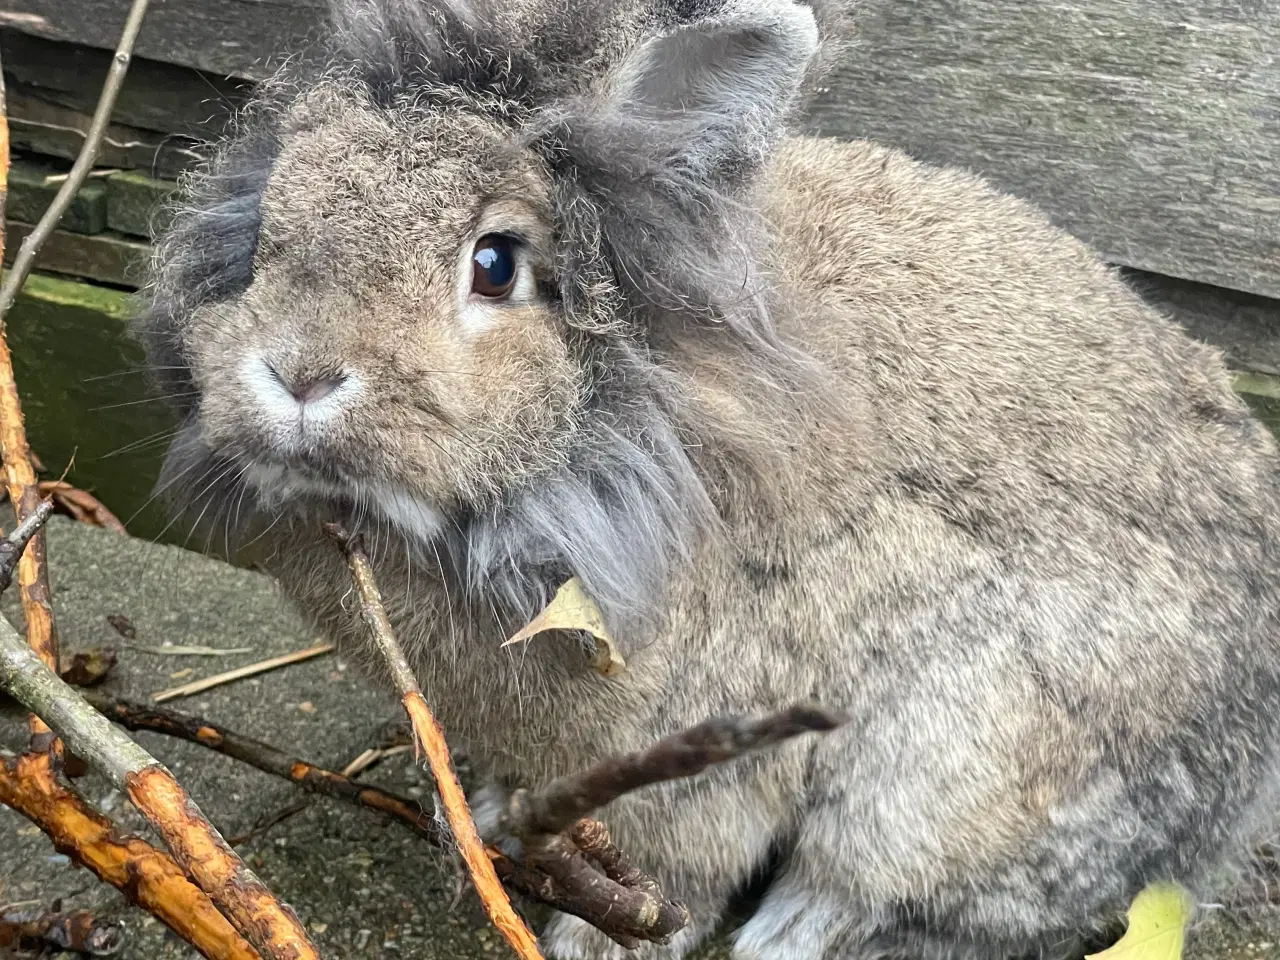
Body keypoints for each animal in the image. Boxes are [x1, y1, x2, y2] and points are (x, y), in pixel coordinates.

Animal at [132, 0, 1280, 957]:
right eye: (273, 222)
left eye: (495, 265)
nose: (298, 371)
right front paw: (495, 822)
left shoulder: (710, 757)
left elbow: (675, 873)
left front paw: (591, 943)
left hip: (955, 775)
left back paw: (790, 935)